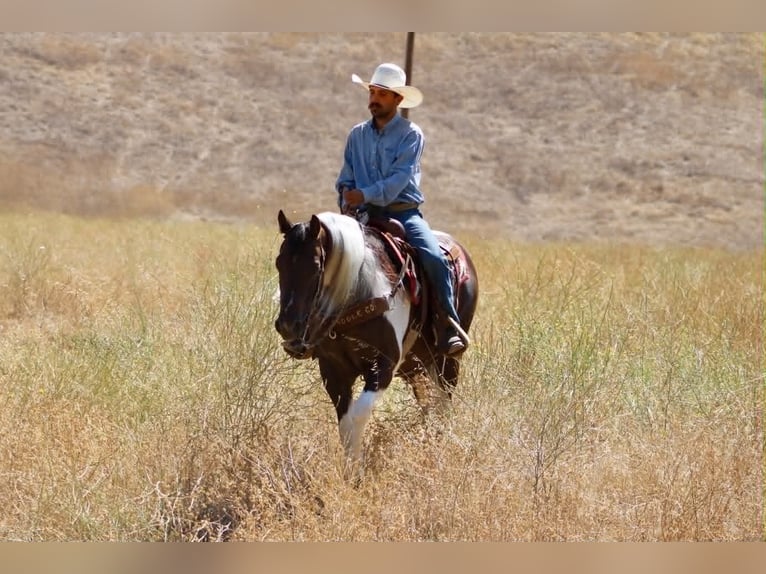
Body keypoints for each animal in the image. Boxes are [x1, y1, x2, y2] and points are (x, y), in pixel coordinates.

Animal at [274, 209, 479, 474]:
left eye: (316, 266)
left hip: (447, 361)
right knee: (428, 403)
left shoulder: (383, 366)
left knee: (443, 402)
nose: (287, 325)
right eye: (279, 262)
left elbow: (359, 415)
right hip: (416, 366)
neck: (359, 294)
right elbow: (345, 424)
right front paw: (351, 471)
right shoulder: (333, 370)